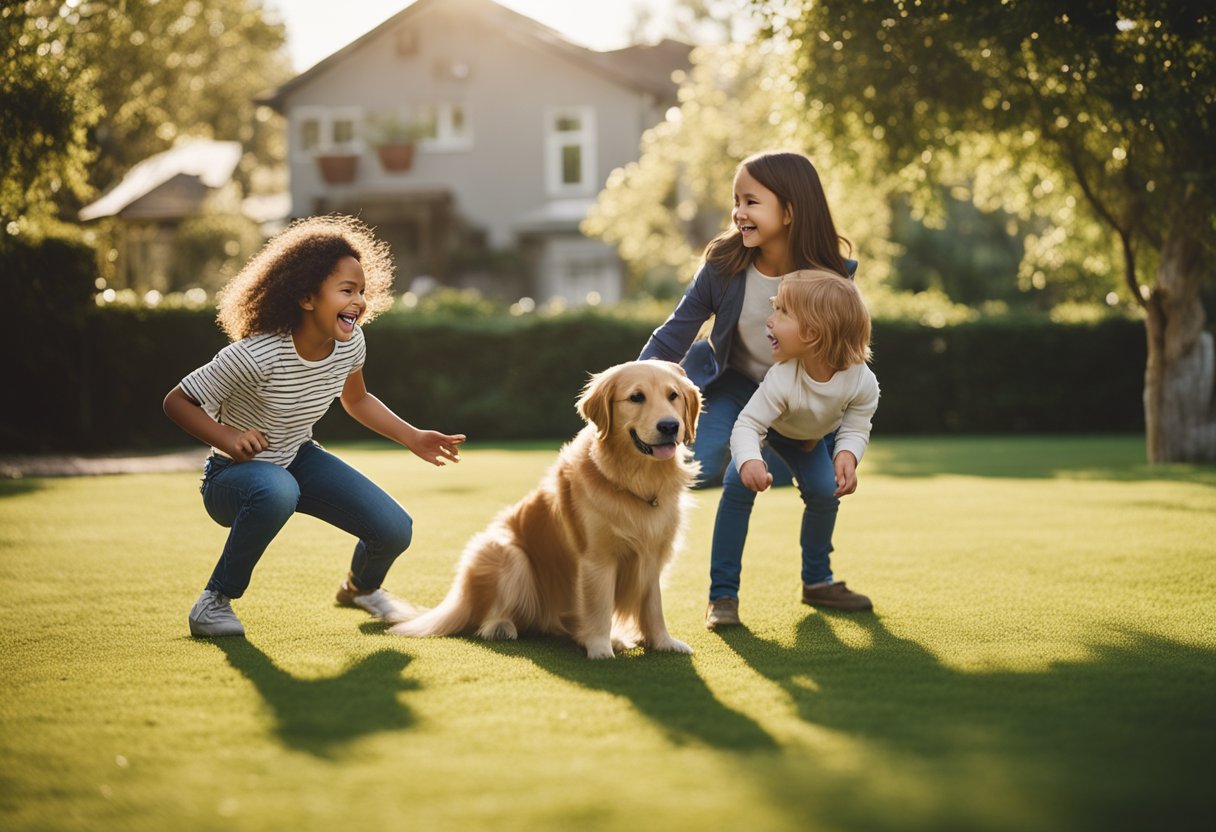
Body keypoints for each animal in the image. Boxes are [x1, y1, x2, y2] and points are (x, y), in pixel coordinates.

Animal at [384, 360, 700, 661]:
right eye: (636, 397)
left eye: (673, 396)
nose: (670, 426)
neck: (634, 480)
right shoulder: (596, 558)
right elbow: (598, 608)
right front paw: (600, 649)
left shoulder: (652, 555)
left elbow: (653, 607)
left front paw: (663, 643)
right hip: (507, 553)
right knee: (490, 617)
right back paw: (502, 627)